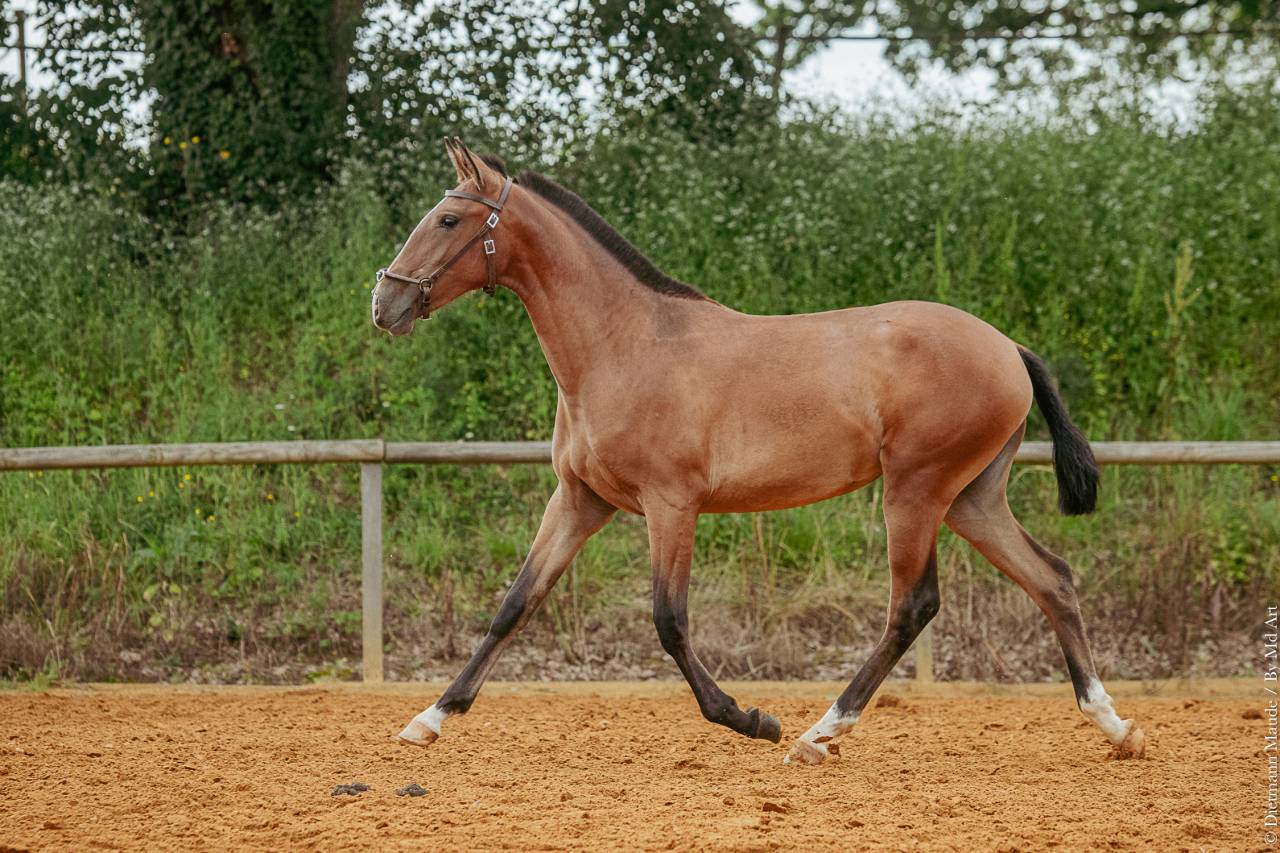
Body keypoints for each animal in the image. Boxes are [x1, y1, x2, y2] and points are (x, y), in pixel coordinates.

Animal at [371, 138, 1145, 764]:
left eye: (448, 220)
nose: (385, 305)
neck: (624, 345)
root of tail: (1009, 349)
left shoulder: (670, 503)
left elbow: (670, 620)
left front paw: (750, 718)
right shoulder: (581, 499)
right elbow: (515, 603)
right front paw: (428, 719)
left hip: (917, 490)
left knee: (913, 605)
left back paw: (818, 733)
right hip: (971, 499)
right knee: (1051, 578)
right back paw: (1114, 725)